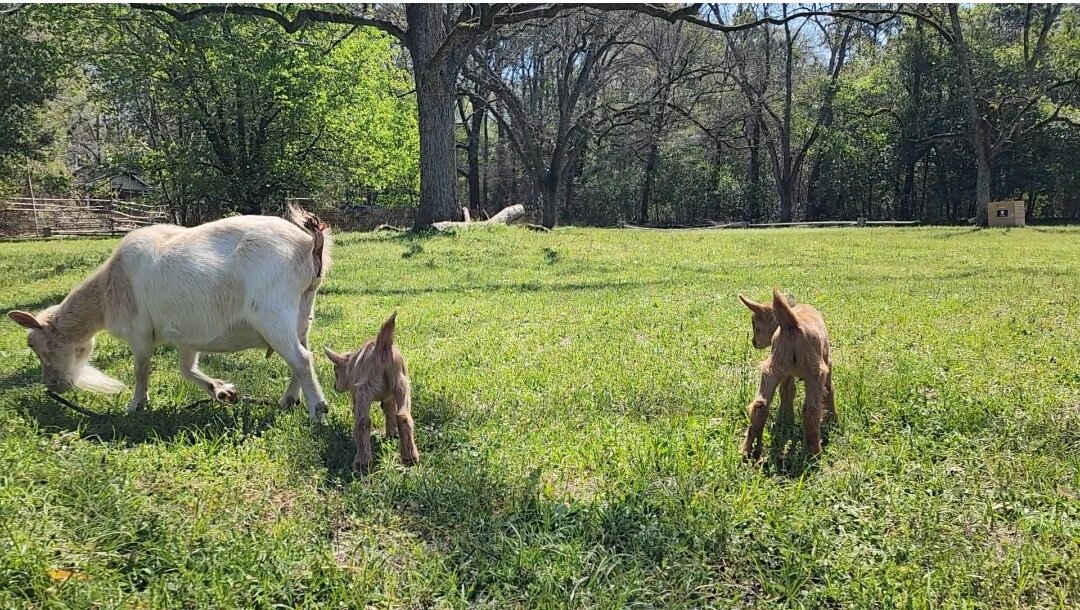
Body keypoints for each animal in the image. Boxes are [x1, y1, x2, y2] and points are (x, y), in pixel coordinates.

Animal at [8, 204, 333, 422]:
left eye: (35, 344)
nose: (52, 385)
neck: (107, 289)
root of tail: (307, 245)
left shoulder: (139, 332)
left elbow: (141, 369)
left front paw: (136, 405)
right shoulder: (188, 335)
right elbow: (186, 369)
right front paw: (222, 392)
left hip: (271, 312)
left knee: (301, 358)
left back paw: (317, 409)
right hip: (302, 313)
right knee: (303, 352)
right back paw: (289, 399)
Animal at [324, 312, 420, 473]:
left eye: (336, 372)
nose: (335, 386)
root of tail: (383, 347)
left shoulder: (356, 393)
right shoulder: (389, 397)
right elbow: (390, 412)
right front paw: (392, 434)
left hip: (365, 389)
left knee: (363, 421)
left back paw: (362, 463)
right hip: (402, 385)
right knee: (403, 416)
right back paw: (410, 457)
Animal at [737, 289, 837, 460]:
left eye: (753, 323)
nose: (754, 342)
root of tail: (791, 324)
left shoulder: (785, 373)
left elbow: (787, 392)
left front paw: (785, 419)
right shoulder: (827, 363)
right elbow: (829, 390)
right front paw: (833, 420)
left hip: (772, 367)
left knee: (760, 405)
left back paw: (747, 452)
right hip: (815, 372)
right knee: (811, 409)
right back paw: (814, 454)